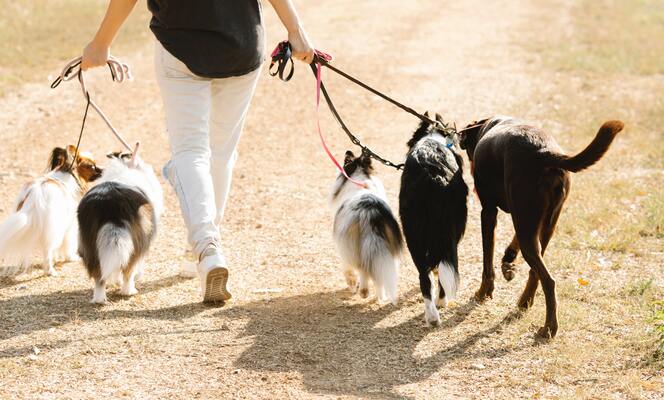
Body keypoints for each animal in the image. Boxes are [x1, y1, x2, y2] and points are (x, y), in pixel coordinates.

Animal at [0, 145, 102, 276]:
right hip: (54, 228)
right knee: (47, 250)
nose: (103, 170)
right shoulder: (69, 225)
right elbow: (68, 243)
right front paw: (71, 257)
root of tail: (33, 198)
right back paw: (50, 271)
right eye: (92, 166)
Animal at [330, 150, 402, 304]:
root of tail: (369, 212)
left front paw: (352, 285)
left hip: (350, 246)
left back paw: (363, 291)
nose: (348, 151)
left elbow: (349, 271)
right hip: (387, 251)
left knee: (362, 268)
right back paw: (381, 297)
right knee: (379, 274)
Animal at [396, 113, 470, 324]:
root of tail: (432, 174)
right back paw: (439, 306)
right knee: (437, 271)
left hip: (412, 231)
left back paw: (432, 315)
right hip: (447, 230)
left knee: (424, 275)